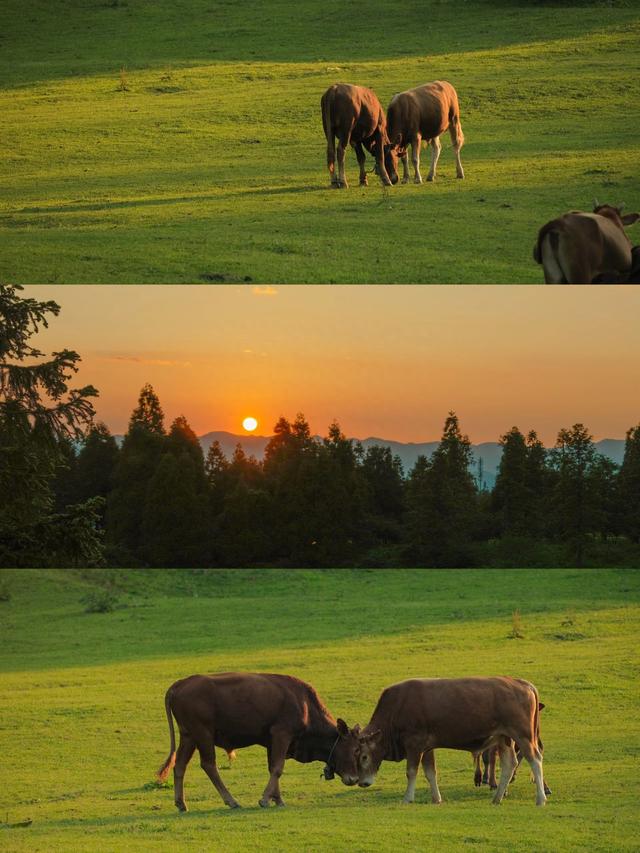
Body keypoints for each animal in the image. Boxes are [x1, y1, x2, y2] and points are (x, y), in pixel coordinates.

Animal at [153, 668, 358, 808]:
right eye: (355, 750)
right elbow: (277, 768)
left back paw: (181, 803)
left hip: (188, 736)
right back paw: (231, 800)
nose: (355, 779)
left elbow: (272, 768)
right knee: (209, 765)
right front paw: (266, 799)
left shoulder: (272, 742)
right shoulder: (281, 734)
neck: (305, 704)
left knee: (180, 764)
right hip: (203, 734)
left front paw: (278, 799)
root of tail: (180, 684)